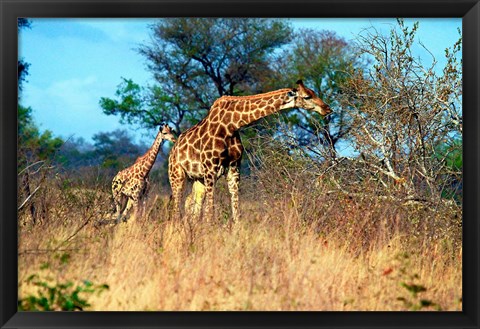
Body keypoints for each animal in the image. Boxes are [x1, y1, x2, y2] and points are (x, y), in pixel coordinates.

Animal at [170, 80, 334, 222]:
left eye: (313, 92)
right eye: (307, 96)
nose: (327, 109)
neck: (231, 124)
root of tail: (173, 150)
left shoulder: (234, 168)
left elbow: (236, 212)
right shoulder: (211, 169)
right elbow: (210, 211)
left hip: (198, 179)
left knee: (192, 206)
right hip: (177, 175)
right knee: (177, 207)